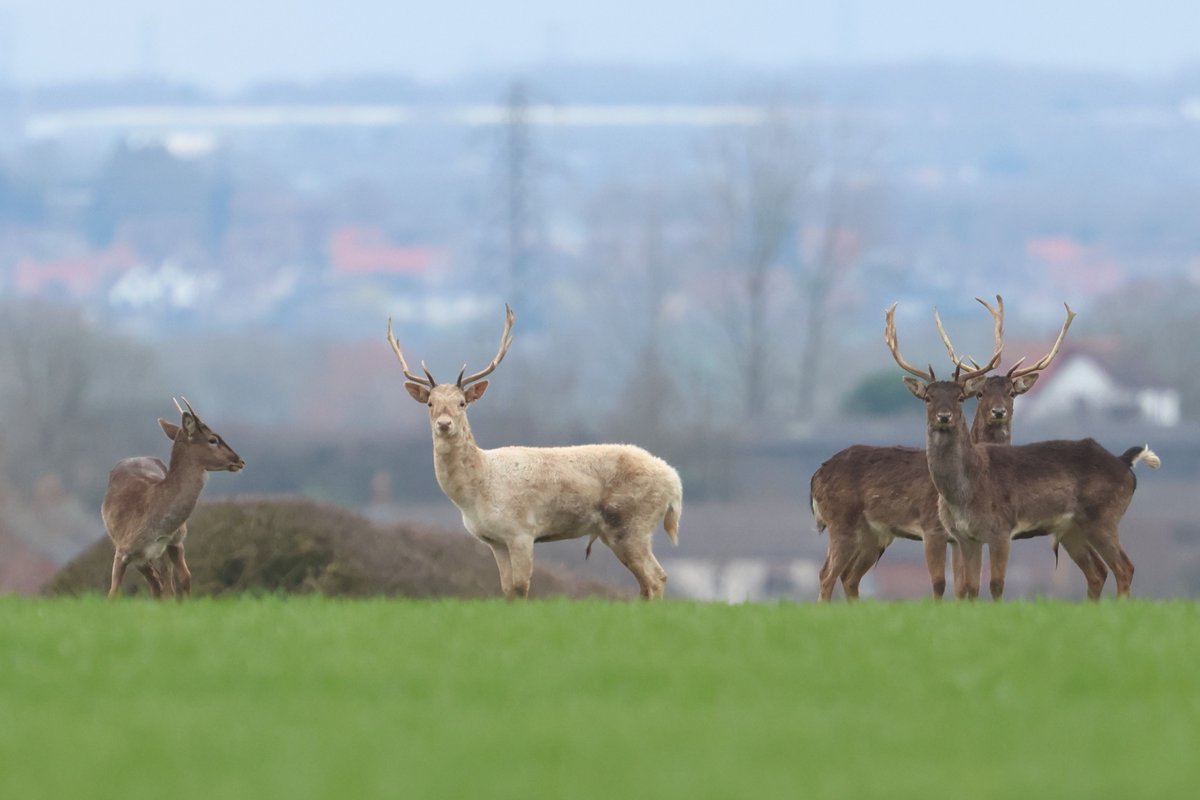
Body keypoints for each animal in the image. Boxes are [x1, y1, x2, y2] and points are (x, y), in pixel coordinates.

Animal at [101, 398, 245, 599]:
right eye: (213, 439)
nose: (239, 460)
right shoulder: (123, 550)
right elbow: (113, 593)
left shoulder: (173, 543)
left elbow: (182, 582)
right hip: (138, 556)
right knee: (157, 584)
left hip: (166, 549)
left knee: (166, 584)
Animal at [387, 305, 683, 599]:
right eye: (430, 403)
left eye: (462, 403)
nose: (444, 424)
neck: (477, 492)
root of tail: (675, 482)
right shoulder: (495, 540)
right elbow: (507, 589)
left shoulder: (522, 531)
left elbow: (521, 587)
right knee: (647, 583)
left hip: (631, 523)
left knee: (656, 578)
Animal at [811, 296, 1073, 601]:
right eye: (928, 397)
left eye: (1011, 393)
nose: (998, 412)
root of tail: (816, 477)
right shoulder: (932, 527)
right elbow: (941, 584)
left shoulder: (960, 537)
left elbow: (964, 586)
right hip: (841, 522)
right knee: (826, 575)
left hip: (873, 534)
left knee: (849, 577)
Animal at [886, 303, 1159, 600]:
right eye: (928, 398)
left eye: (960, 397)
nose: (944, 417)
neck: (965, 491)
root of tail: (1125, 462)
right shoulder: (964, 537)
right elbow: (969, 588)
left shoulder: (1000, 529)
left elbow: (995, 585)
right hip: (1072, 528)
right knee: (1098, 571)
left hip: (1104, 517)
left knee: (1124, 567)